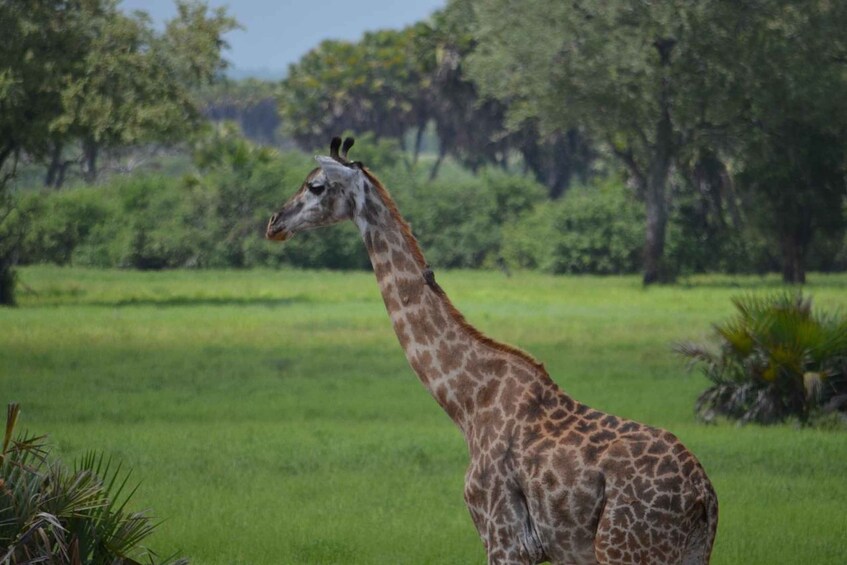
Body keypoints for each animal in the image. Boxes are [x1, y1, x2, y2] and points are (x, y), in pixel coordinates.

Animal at [266, 137, 718, 565]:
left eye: (316, 185)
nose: (274, 223)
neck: (466, 402)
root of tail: (705, 495)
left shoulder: (504, 537)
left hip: (625, 547)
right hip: (688, 553)